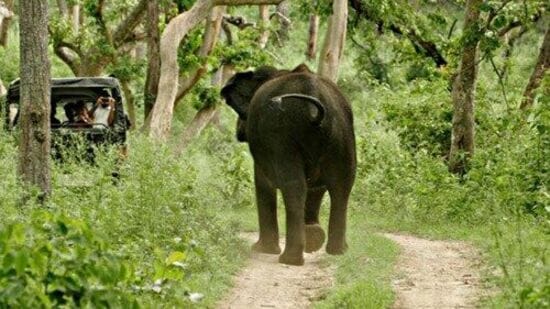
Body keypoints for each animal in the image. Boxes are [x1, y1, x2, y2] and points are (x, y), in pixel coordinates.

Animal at [223, 63, 358, 264]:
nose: (239, 129)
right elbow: (317, 187)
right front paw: (313, 236)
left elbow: (263, 183)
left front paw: (261, 249)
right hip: (342, 134)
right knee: (342, 186)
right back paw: (337, 251)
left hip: (282, 136)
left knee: (294, 186)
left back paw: (290, 259)